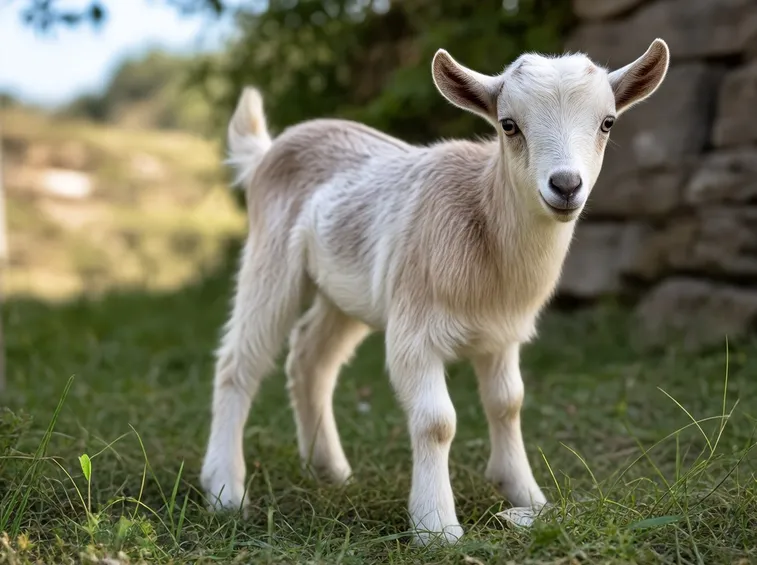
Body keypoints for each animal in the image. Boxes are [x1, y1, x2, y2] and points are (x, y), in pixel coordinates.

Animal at [200, 38, 670, 545]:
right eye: (508, 124)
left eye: (607, 122)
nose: (565, 185)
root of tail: (268, 152)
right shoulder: (414, 329)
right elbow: (437, 422)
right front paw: (436, 527)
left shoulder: (502, 335)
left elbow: (508, 403)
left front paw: (527, 497)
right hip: (272, 262)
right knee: (238, 363)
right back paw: (225, 492)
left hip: (346, 293)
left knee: (310, 359)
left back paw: (329, 471)